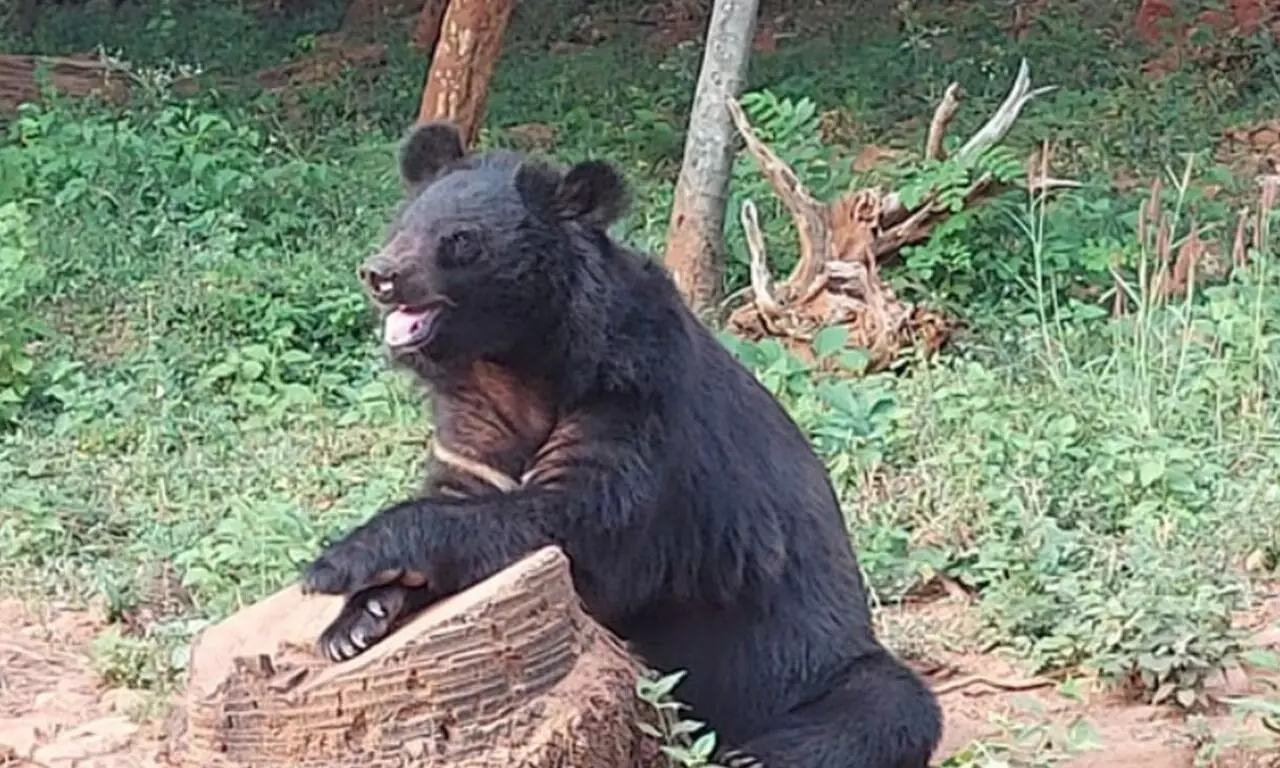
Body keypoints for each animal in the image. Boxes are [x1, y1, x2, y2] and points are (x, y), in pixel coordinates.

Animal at [300, 121, 943, 768]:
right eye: (403, 225)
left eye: (460, 241)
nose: (381, 274)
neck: (512, 361)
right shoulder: (473, 427)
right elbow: (465, 492)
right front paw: (355, 624)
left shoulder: (631, 400)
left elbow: (583, 526)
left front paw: (333, 563)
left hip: (815, 662)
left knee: (880, 710)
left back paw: (750, 752)